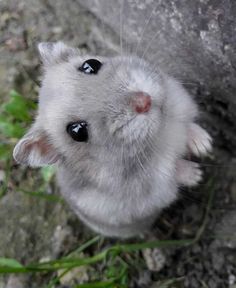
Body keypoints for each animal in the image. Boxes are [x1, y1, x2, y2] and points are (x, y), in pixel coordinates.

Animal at [12, 41, 212, 237]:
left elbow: (188, 126)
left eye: (91, 65)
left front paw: (206, 145)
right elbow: (174, 170)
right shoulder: (156, 184)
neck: (160, 130)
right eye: (77, 131)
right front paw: (198, 174)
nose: (144, 101)